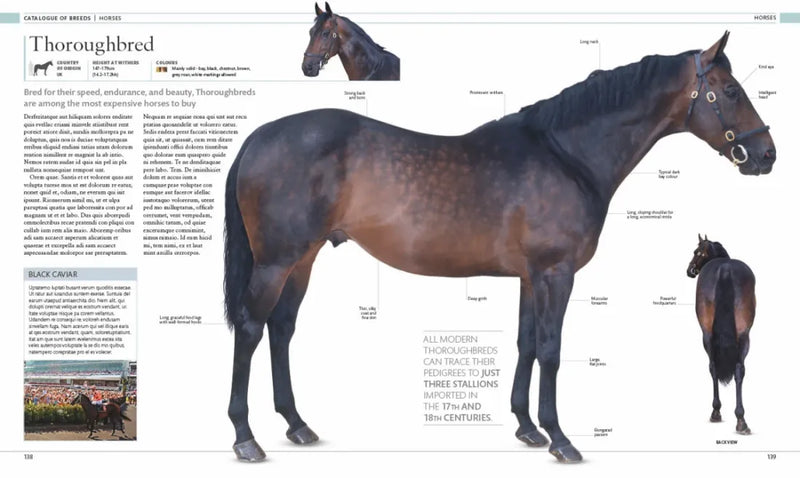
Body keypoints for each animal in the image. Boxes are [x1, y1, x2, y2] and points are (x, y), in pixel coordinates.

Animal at [687, 235, 756, 435]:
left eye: (697, 252)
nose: (690, 270)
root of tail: (725, 270)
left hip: (707, 335)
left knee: (714, 367)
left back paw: (718, 412)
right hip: (744, 335)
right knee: (738, 369)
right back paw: (740, 420)